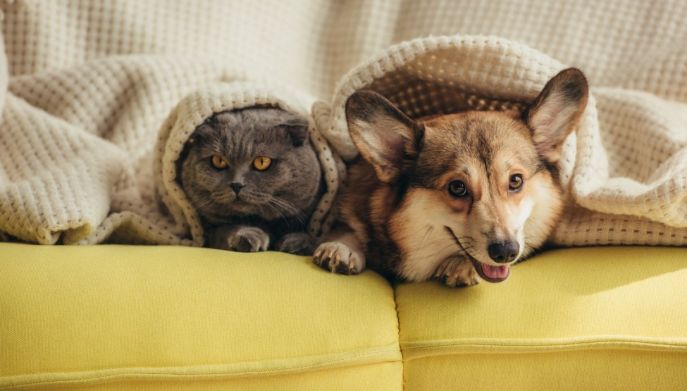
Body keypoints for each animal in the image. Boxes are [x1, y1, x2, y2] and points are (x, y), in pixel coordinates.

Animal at [180, 107, 326, 256]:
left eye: (262, 162)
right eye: (218, 161)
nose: (237, 184)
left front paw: (298, 242)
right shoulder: (209, 230)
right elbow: (225, 229)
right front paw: (248, 236)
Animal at [314, 67, 588, 288]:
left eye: (516, 181)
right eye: (457, 187)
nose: (506, 252)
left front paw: (460, 265)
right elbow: (348, 227)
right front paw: (341, 247)